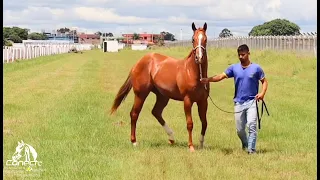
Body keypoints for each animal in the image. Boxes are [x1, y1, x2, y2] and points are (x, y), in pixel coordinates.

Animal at [110, 22, 210, 152]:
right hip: (141, 94)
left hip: (162, 96)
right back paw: (134, 141)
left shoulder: (203, 101)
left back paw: (171, 137)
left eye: (205, 39)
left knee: (156, 112)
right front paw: (191, 146)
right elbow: (190, 123)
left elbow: (204, 122)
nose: (199, 58)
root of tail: (138, 63)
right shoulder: (187, 101)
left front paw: (201, 144)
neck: (193, 73)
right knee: (134, 114)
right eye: (193, 39)